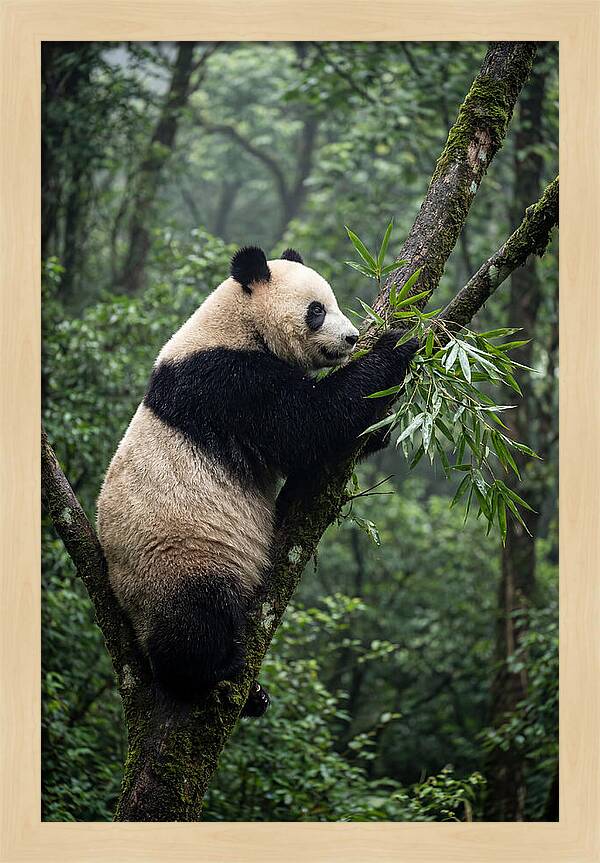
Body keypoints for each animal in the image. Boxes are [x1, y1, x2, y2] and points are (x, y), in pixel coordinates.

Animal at [97, 246, 417, 717]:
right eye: (317, 311)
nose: (352, 338)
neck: (236, 323)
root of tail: (125, 606)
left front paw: (381, 426)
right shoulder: (226, 382)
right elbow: (308, 424)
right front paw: (398, 343)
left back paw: (254, 696)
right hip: (178, 557)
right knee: (195, 619)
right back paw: (212, 671)